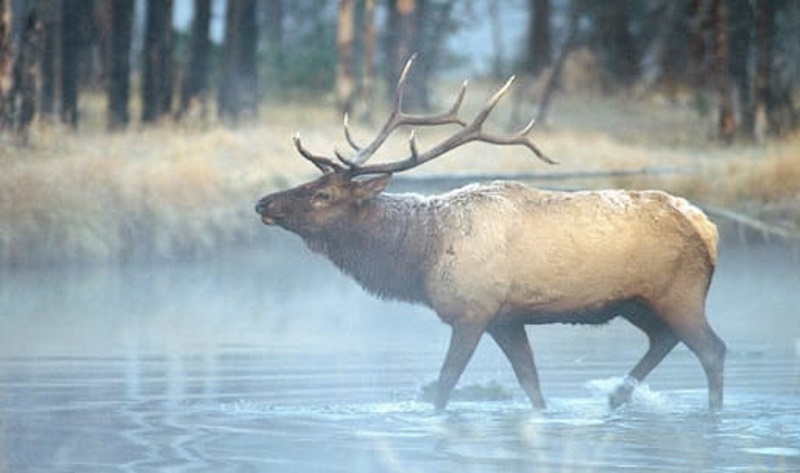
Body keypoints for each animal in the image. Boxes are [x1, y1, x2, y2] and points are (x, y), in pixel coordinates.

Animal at [255, 56, 726, 412]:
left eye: (323, 194)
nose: (263, 203)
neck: (420, 255)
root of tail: (706, 226)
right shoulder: (507, 318)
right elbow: (532, 386)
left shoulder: (472, 310)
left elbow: (445, 386)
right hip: (636, 301)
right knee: (664, 338)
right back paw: (616, 396)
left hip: (680, 292)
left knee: (712, 349)